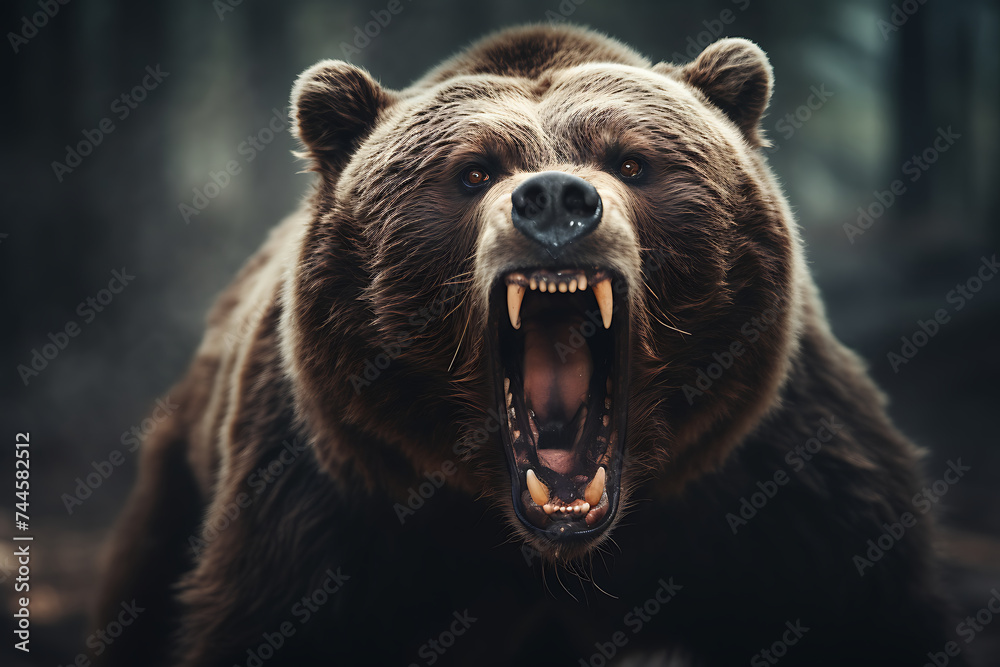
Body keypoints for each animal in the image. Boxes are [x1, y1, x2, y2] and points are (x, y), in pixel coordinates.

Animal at [94, 24, 967, 667]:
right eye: (473, 171)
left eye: (632, 160)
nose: (554, 198)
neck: (555, 553)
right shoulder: (327, 508)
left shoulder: (786, 487)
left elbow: (866, 606)